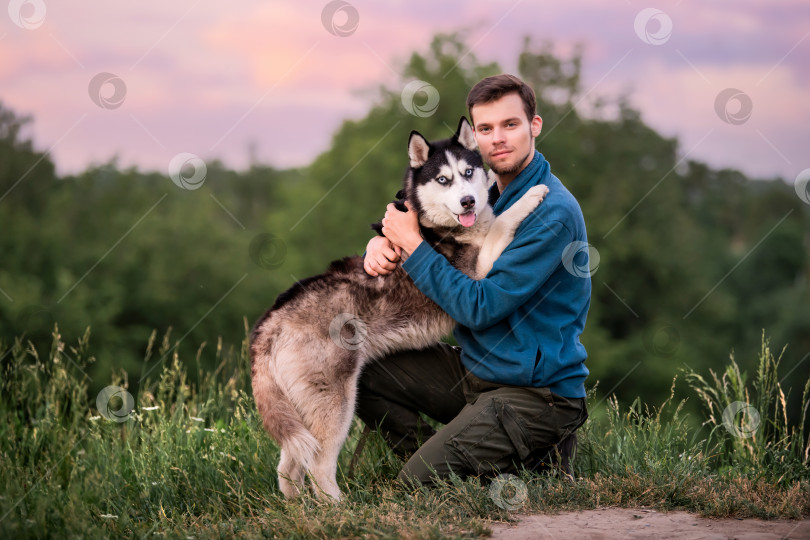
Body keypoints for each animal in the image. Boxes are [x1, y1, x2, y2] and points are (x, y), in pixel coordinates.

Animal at [248, 118, 548, 502]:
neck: (438, 225)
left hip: (302, 410)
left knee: (289, 465)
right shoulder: (478, 275)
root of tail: (272, 320)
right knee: (318, 467)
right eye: (443, 180)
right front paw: (531, 195)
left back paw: (298, 507)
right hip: (335, 403)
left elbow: (495, 219)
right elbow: (502, 221)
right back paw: (339, 508)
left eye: (468, 172)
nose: (468, 201)